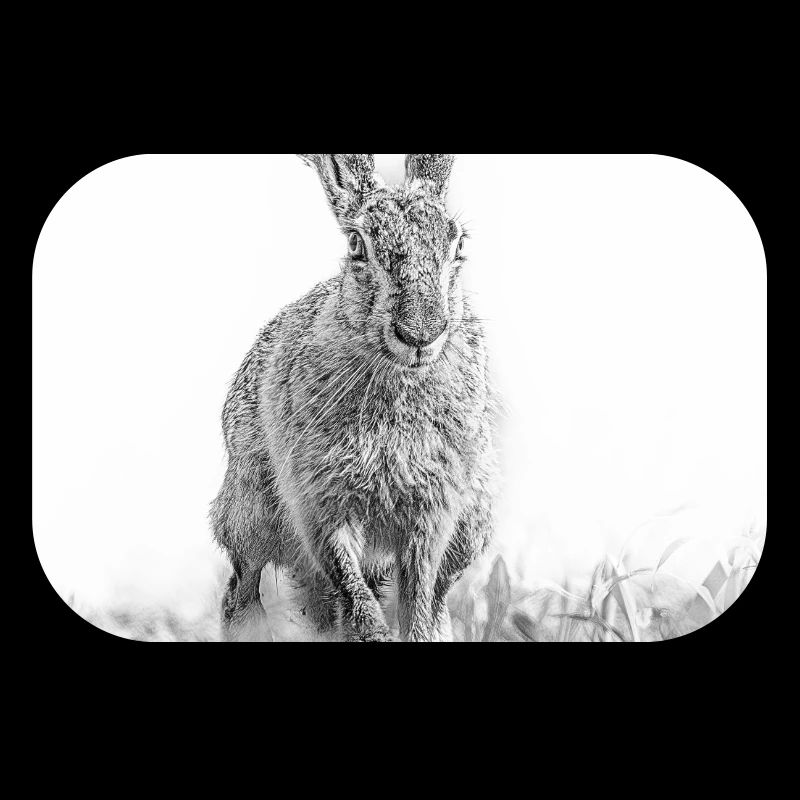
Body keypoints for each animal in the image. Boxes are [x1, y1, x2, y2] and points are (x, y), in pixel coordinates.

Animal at [210, 154, 499, 642]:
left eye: (458, 244)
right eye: (355, 244)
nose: (420, 333)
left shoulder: (433, 511)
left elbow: (417, 598)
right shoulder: (319, 501)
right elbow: (355, 596)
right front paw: (372, 631)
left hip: (474, 518)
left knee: (436, 600)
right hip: (249, 510)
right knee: (243, 592)